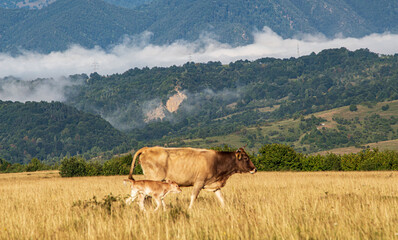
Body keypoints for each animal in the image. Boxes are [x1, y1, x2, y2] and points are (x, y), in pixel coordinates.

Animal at [128, 146, 258, 208]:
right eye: (246, 158)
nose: (254, 169)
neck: (217, 161)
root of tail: (147, 148)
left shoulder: (214, 185)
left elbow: (221, 198)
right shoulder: (199, 183)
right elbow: (193, 197)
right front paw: (190, 209)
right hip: (153, 180)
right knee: (145, 198)